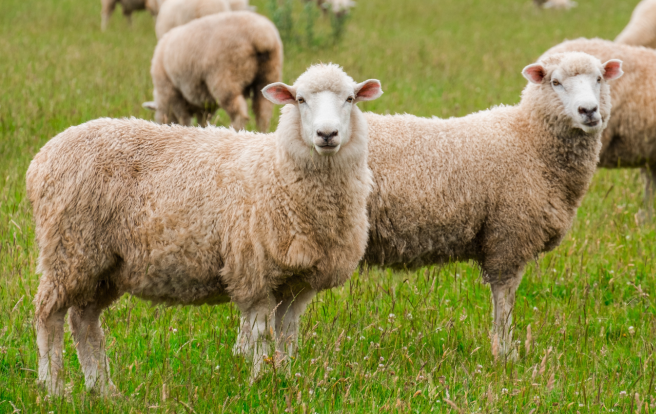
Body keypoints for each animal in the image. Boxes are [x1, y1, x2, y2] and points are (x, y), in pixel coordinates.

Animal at [26, 64, 384, 394]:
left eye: (350, 99)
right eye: (300, 100)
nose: (327, 135)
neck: (278, 170)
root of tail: (42, 156)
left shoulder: (296, 284)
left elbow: (287, 336)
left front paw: (283, 379)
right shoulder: (252, 273)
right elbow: (261, 335)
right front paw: (260, 383)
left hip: (104, 265)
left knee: (83, 322)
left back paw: (102, 390)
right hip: (70, 249)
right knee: (48, 316)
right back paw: (53, 387)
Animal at [145, 11, 282, 131]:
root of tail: (261, 36)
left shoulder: (172, 93)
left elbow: (184, 119)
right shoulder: (204, 103)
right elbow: (203, 120)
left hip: (226, 77)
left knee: (239, 115)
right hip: (269, 75)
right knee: (263, 113)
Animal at [364, 51, 624, 356]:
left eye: (599, 78)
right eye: (555, 82)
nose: (589, 111)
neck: (529, 139)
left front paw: (503, 349)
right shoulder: (508, 235)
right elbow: (504, 299)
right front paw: (504, 352)